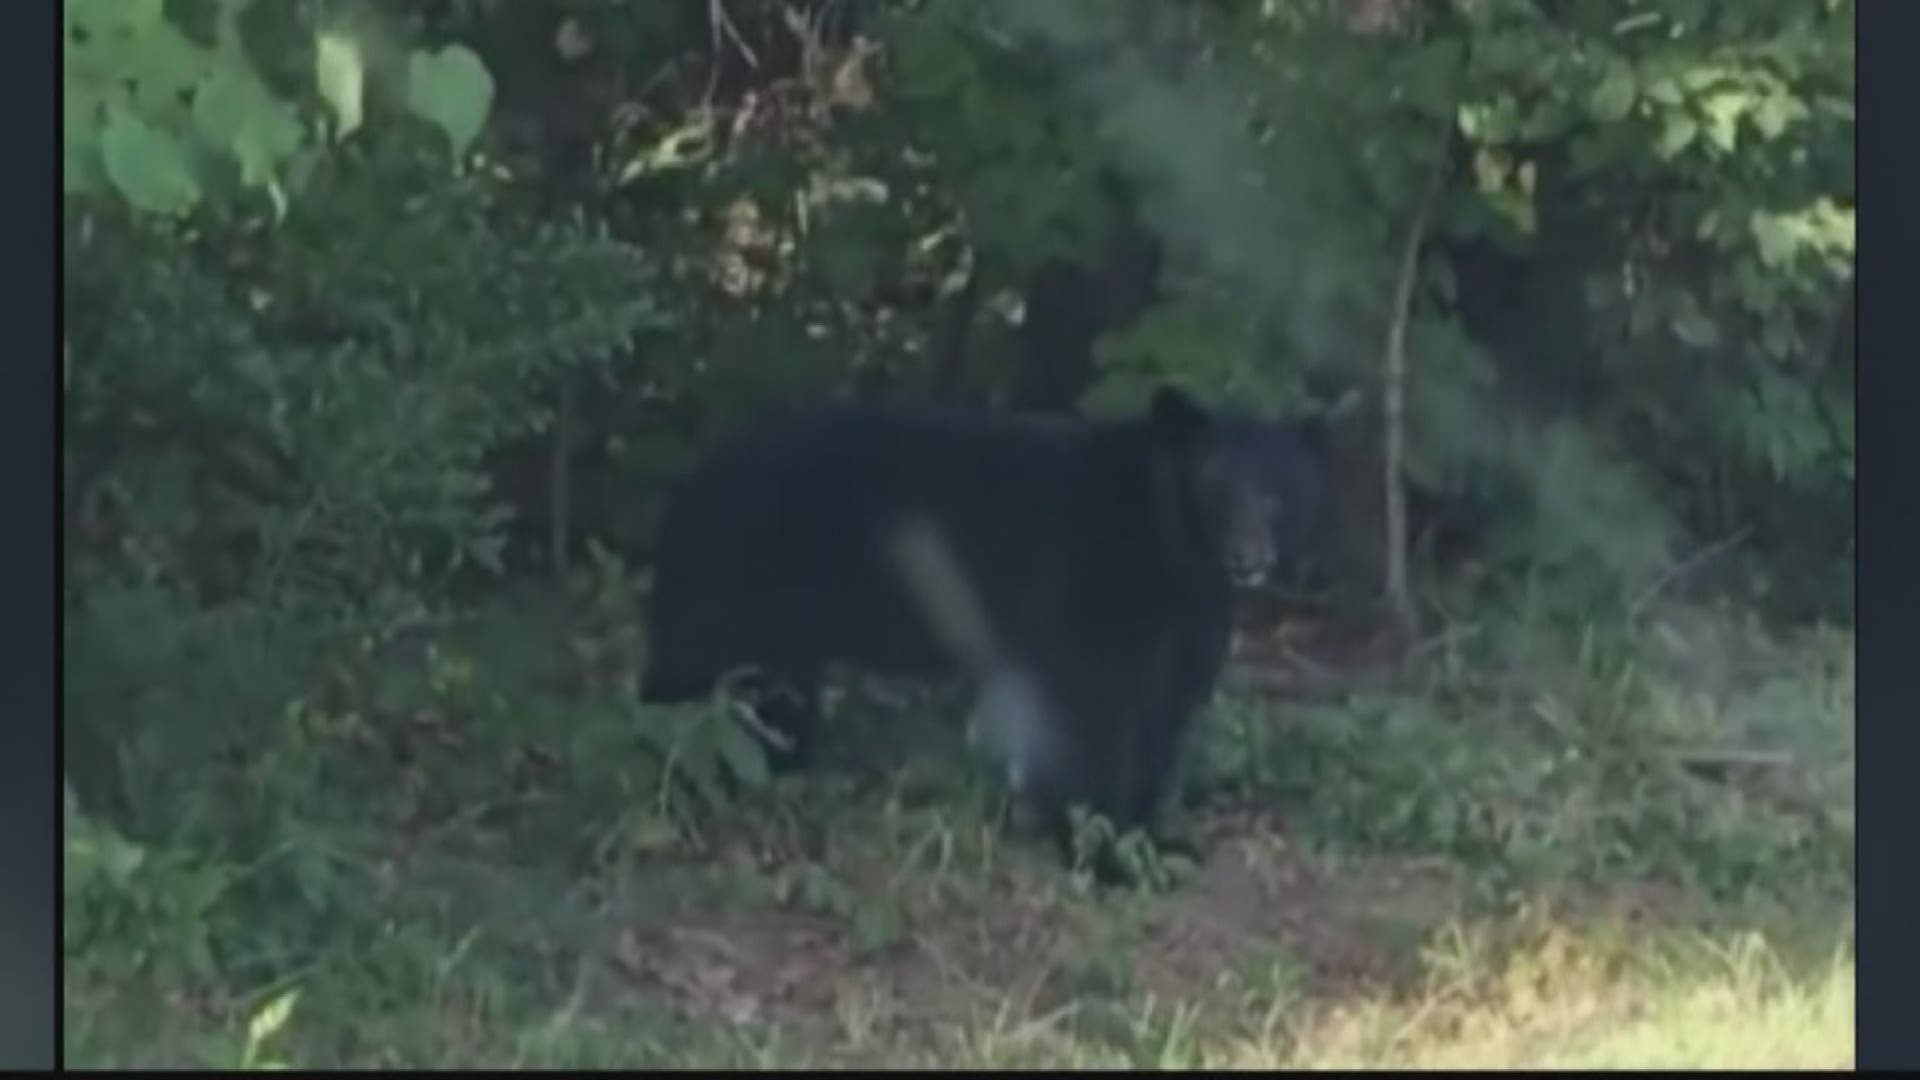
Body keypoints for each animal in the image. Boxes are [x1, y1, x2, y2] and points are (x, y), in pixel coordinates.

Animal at [637, 384, 1328, 876]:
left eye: (1275, 492)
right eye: (1216, 484)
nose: (1248, 556)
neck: (1170, 544)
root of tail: (681, 501)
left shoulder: (1185, 622)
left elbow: (1164, 718)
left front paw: (1155, 841)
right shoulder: (1091, 595)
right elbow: (1091, 722)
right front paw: (1099, 850)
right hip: (735, 597)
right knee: (695, 696)